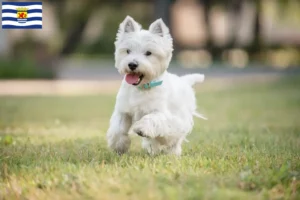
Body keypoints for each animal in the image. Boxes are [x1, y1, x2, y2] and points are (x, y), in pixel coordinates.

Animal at [106, 16, 206, 155]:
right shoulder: (123, 110)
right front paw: (119, 146)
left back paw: (171, 153)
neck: (141, 88)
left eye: (148, 53)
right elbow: (118, 128)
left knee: (173, 139)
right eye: (127, 51)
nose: (132, 64)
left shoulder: (162, 112)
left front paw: (141, 128)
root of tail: (185, 81)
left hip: (181, 120)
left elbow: (152, 118)